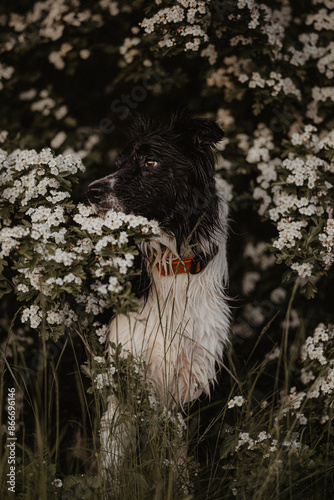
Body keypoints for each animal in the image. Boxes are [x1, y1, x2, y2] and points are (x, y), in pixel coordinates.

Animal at [87, 112, 231, 480]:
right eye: (120, 163)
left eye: (151, 162)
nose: (91, 191)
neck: (171, 265)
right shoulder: (123, 372)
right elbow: (112, 460)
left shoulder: (191, 380)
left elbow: (177, 463)